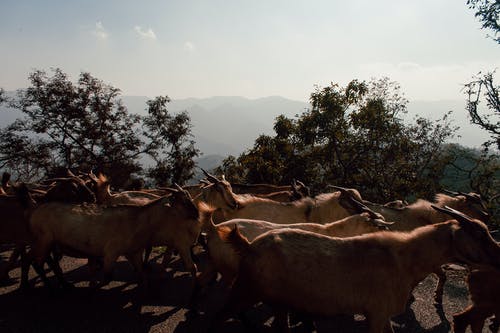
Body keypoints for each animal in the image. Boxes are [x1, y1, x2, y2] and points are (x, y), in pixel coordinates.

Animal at [211, 205, 500, 332]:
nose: (498, 255)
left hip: (279, 299)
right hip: (246, 288)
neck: (404, 259)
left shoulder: (381, 315)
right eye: (479, 234)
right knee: (218, 315)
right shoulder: (377, 312)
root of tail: (249, 245)